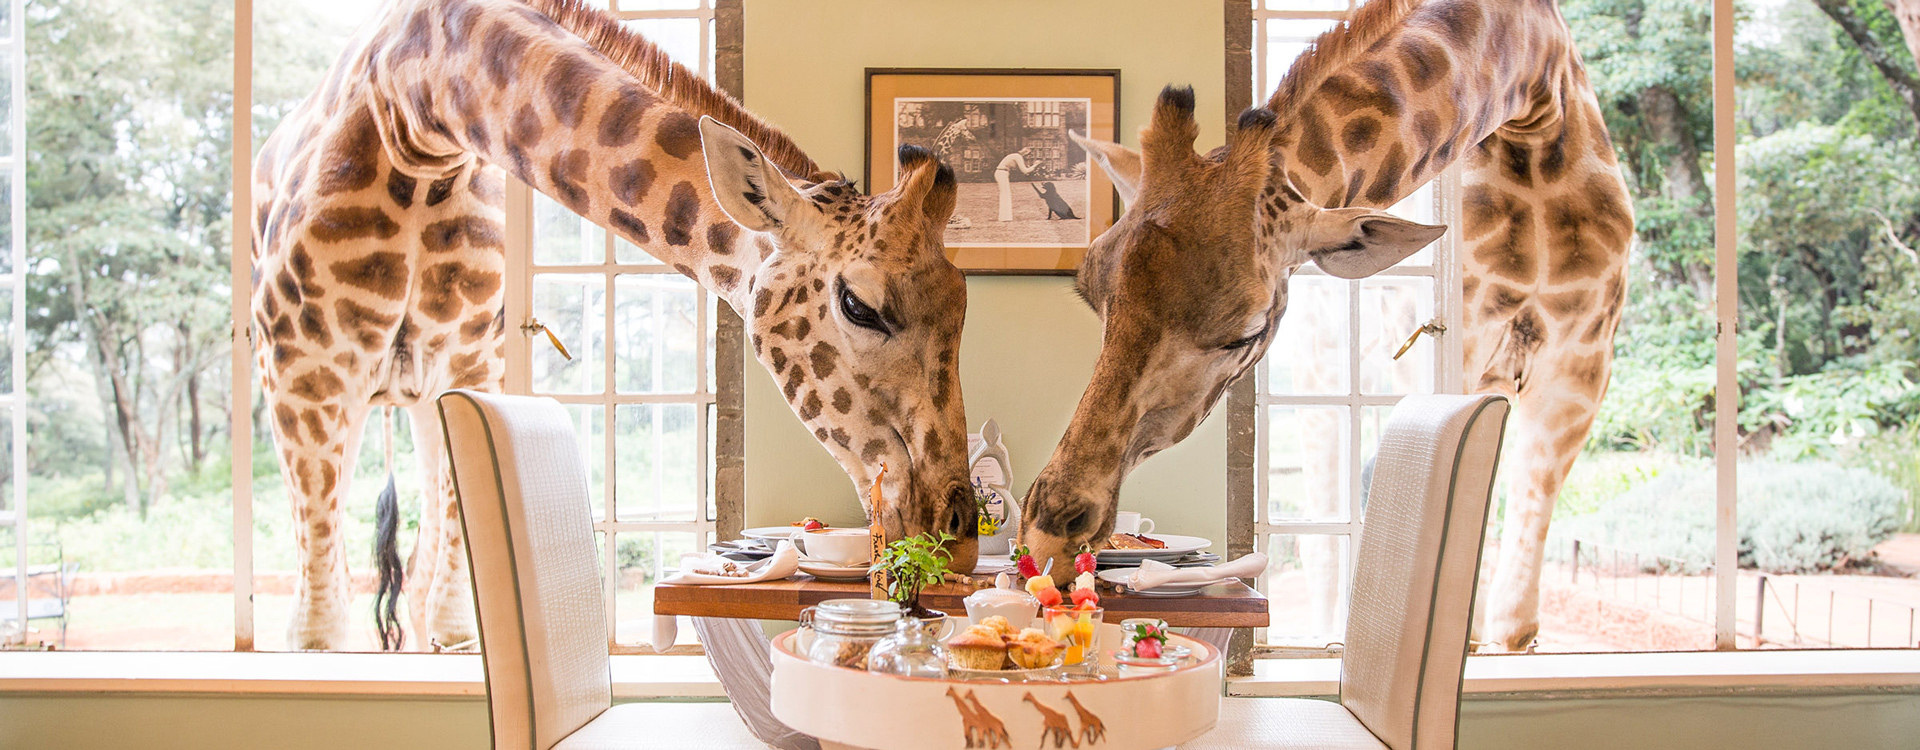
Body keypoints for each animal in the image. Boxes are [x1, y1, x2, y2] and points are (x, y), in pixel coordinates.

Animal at [251, 0, 977, 651]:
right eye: (859, 306)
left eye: (964, 305)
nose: (960, 536)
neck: (420, 112)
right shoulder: (302, 375)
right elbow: (317, 633)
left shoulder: (468, 368)